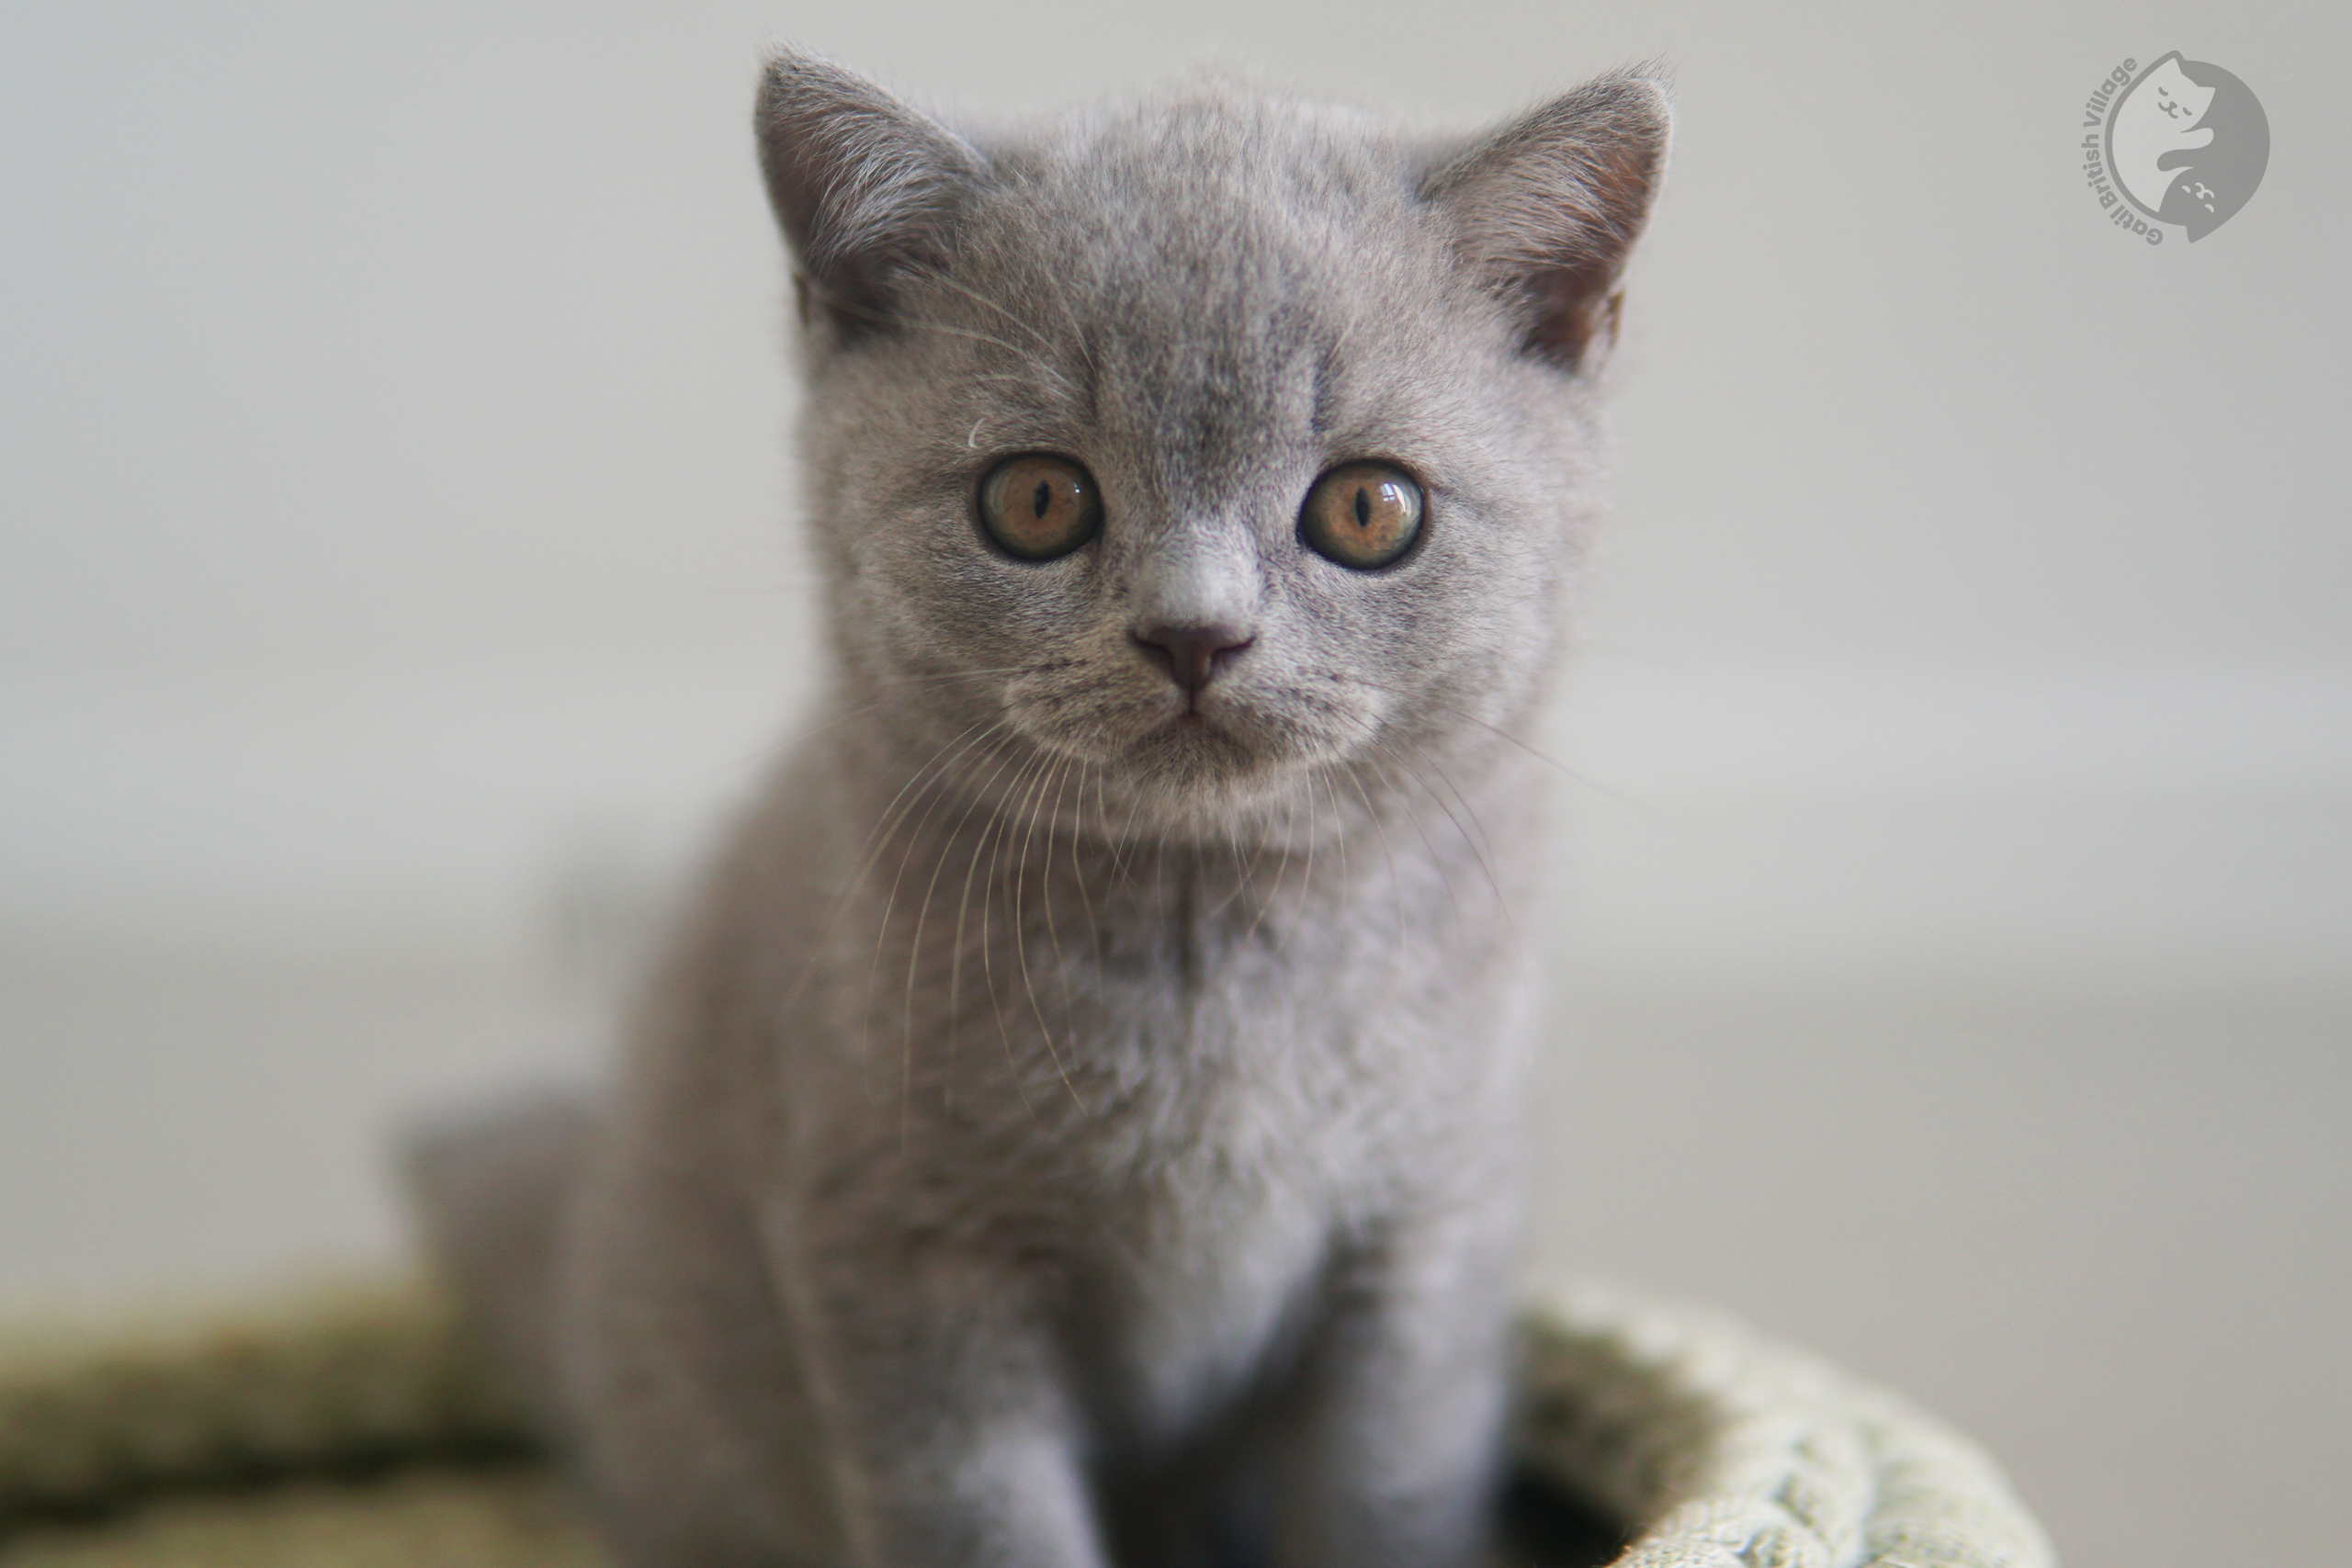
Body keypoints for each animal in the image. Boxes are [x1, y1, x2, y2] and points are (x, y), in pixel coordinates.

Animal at [418, 42, 1674, 1568]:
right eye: (1034, 498)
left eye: (1370, 509)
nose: (1196, 633)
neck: (1209, 943)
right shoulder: (899, 1245)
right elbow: (983, 1512)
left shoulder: (1424, 1235)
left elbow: (1387, 1488)